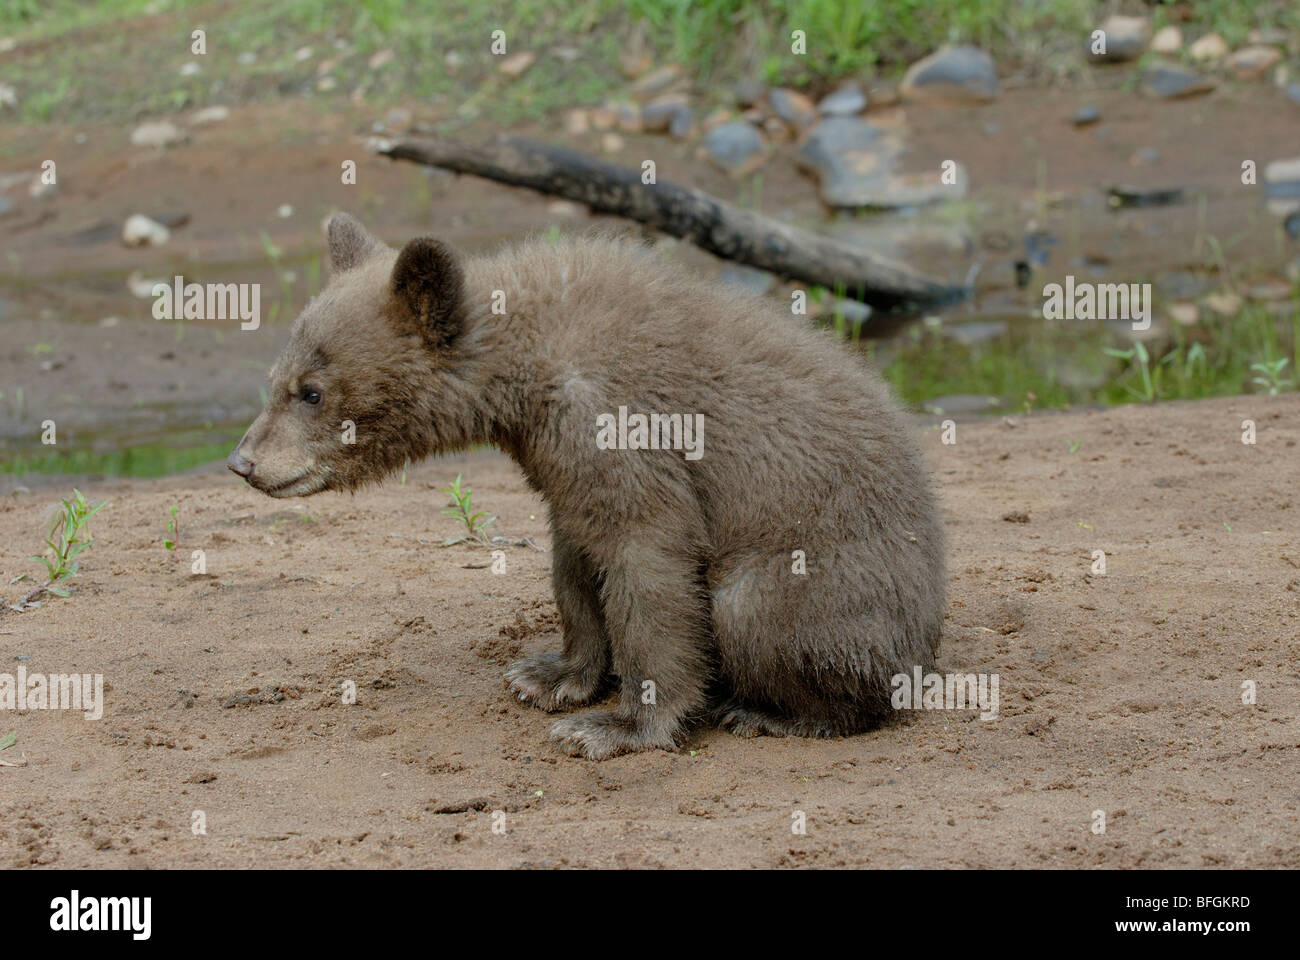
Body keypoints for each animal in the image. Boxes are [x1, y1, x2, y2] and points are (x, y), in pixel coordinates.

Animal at [228, 212, 946, 759]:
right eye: (275, 377)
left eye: (311, 391)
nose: (243, 462)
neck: (528, 371)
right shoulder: (557, 455)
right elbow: (576, 556)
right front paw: (552, 675)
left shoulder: (617, 424)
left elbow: (649, 561)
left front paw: (617, 725)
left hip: (832, 573)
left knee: (760, 611)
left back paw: (776, 711)